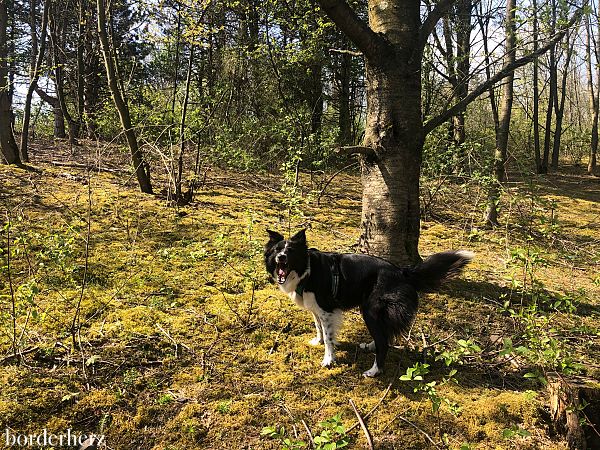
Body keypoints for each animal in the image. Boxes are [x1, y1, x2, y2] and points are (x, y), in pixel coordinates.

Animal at [264, 229, 474, 376]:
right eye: (276, 250)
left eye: (290, 251)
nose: (281, 257)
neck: (306, 270)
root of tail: (402, 272)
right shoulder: (316, 310)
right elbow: (319, 328)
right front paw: (318, 341)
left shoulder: (327, 310)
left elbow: (330, 338)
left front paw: (328, 359)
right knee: (384, 335)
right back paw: (370, 346)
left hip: (370, 311)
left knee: (384, 343)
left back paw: (374, 371)